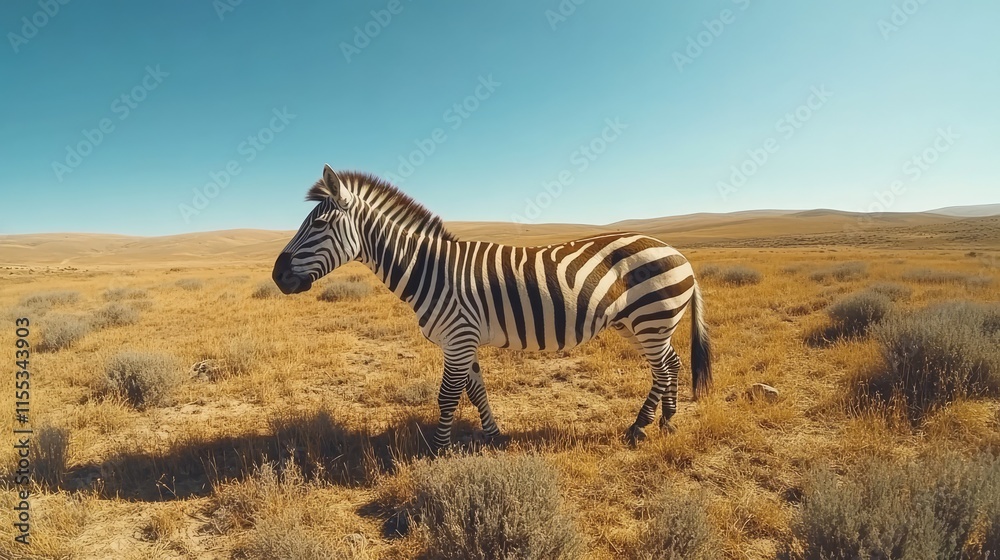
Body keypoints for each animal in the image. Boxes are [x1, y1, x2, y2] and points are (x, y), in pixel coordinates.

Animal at [272, 165, 712, 448]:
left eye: (317, 225)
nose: (277, 276)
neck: (429, 269)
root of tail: (678, 253)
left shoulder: (458, 337)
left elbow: (448, 397)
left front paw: (438, 451)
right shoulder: (463, 340)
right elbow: (475, 390)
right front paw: (493, 435)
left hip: (652, 317)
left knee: (664, 368)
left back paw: (641, 428)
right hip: (638, 323)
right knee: (670, 364)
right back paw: (664, 422)